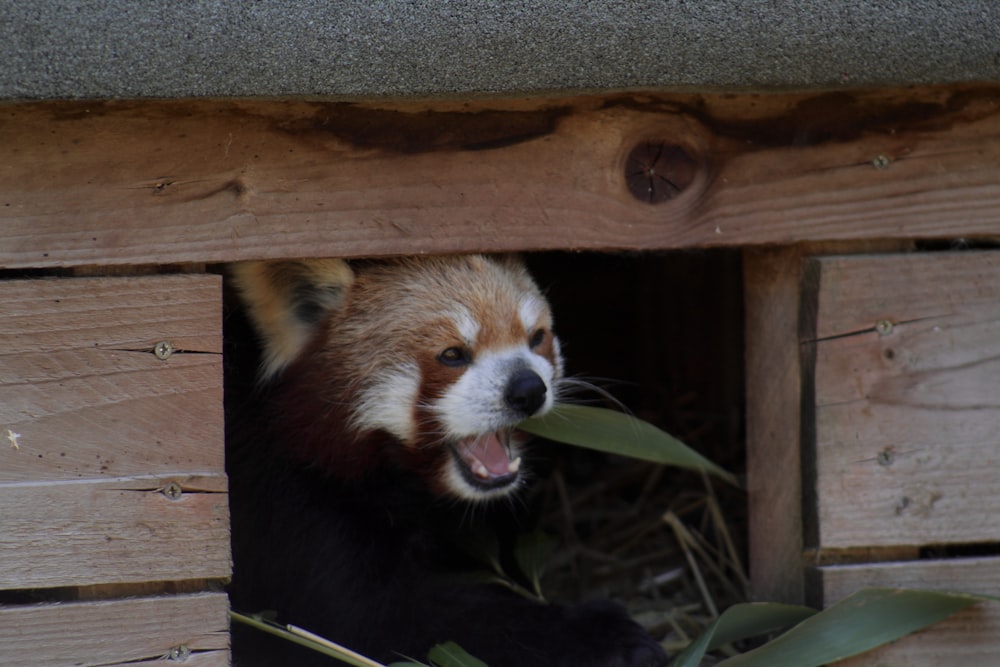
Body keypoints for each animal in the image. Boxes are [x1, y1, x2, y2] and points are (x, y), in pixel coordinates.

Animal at [226, 253, 664, 664]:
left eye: (536, 337)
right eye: (453, 354)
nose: (528, 389)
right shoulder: (285, 501)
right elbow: (372, 616)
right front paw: (601, 635)